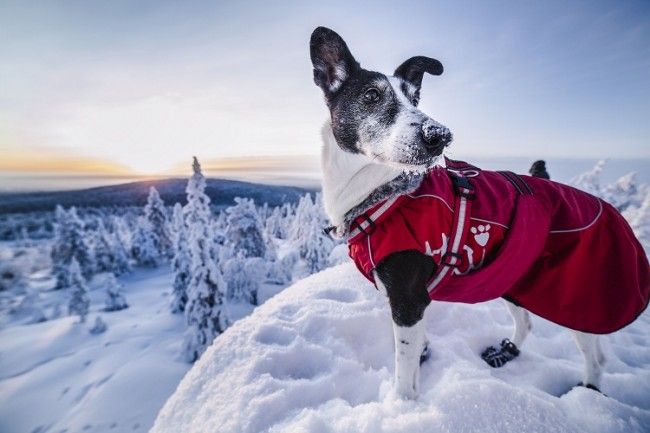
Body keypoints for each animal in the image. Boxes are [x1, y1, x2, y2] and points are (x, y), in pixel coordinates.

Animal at [306, 26, 644, 398]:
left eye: (415, 99)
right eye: (371, 95)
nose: (439, 135)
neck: (383, 194)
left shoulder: (408, 300)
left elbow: (404, 374)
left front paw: (401, 405)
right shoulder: (409, 302)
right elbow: (415, 350)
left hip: (577, 294)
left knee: (595, 354)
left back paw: (588, 391)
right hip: (514, 274)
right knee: (527, 321)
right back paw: (507, 352)